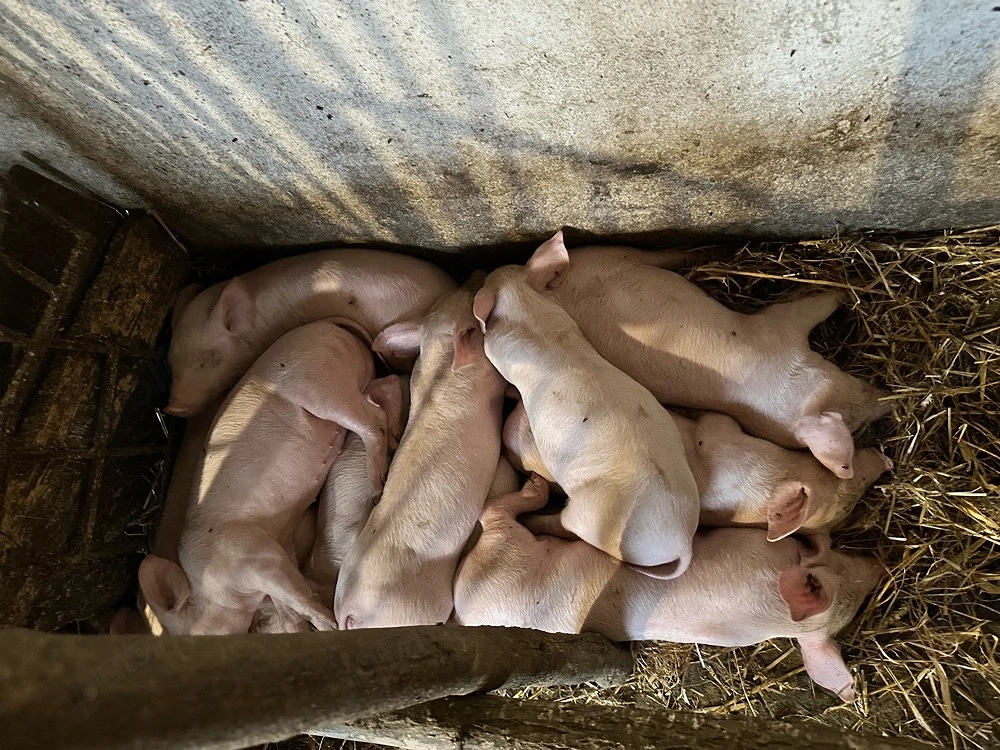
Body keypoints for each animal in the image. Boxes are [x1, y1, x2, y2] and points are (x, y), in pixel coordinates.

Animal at [139, 319, 388, 635]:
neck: (212, 587)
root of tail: (327, 325)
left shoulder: (254, 555)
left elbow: (296, 595)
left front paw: (329, 625)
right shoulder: (283, 546)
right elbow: (288, 607)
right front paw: (302, 629)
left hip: (321, 388)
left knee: (374, 420)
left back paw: (378, 489)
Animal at [454, 476, 884, 702]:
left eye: (861, 594)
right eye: (847, 573)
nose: (878, 567)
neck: (779, 615)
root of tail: (465, 608)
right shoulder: (760, 550)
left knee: (494, 514)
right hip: (509, 547)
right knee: (493, 512)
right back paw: (537, 487)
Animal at [472, 262, 700, 578]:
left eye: (488, 282)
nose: (494, 267)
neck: (529, 313)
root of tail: (683, 544)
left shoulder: (499, 351)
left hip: (586, 516)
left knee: (564, 525)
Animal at [516, 232, 891, 479]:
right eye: (852, 421)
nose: (887, 399)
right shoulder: (777, 329)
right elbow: (811, 306)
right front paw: (844, 291)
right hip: (607, 255)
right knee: (659, 254)